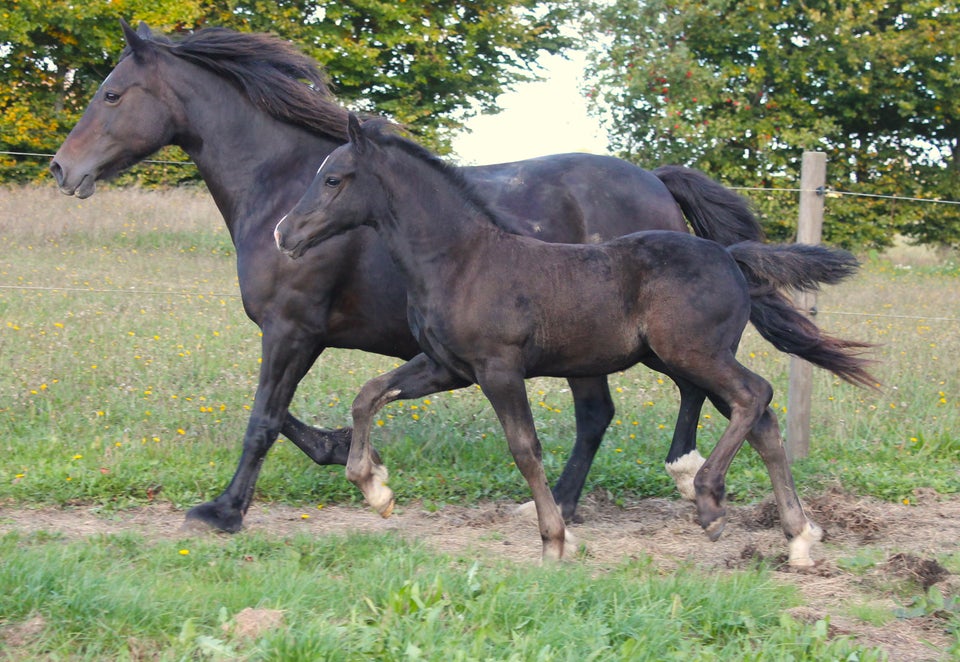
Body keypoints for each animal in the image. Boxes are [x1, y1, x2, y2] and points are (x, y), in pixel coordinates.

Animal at [50, 19, 764, 536]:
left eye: (111, 94)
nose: (62, 169)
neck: (280, 184)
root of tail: (659, 181)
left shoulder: (291, 330)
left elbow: (263, 418)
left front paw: (223, 513)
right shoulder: (306, 337)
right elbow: (288, 415)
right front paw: (345, 452)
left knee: (652, 401)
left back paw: (665, 478)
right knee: (642, 405)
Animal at [272, 118, 876, 564]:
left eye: (333, 179)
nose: (284, 233)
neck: (461, 261)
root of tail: (730, 255)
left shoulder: (497, 368)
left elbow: (525, 448)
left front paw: (555, 541)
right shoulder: (448, 367)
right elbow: (369, 393)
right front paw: (374, 487)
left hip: (694, 353)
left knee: (755, 396)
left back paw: (709, 501)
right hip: (682, 357)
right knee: (763, 422)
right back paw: (797, 539)